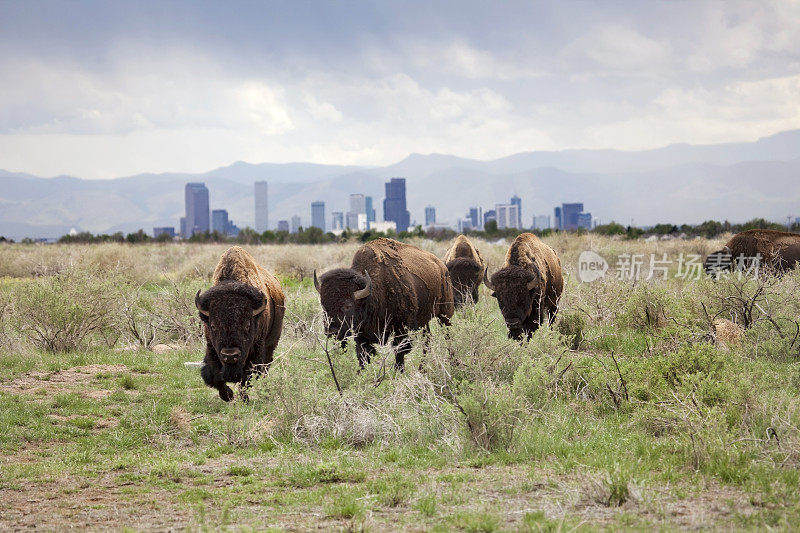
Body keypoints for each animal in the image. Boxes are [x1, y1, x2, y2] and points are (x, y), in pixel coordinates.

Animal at [195, 245, 286, 400]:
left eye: (247, 325)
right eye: (213, 326)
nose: (230, 355)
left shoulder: (254, 352)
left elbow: (246, 378)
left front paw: (244, 399)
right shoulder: (212, 349)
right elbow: (215, 376)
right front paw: (228, 395)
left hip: (271, 343)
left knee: (266, 366)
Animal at [314, 238, 454, 370]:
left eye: (348, 306)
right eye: (323, 304)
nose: (331, 332)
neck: (371, 295)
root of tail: (442, 267)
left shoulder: (401, 329)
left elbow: (399, 352)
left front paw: (398, 372)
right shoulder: (361, 335)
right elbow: (363, 356)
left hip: (445, 314)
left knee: (448, 337)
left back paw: (454, 363)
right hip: (424, 320)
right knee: (427, 340)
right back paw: (422, 369)